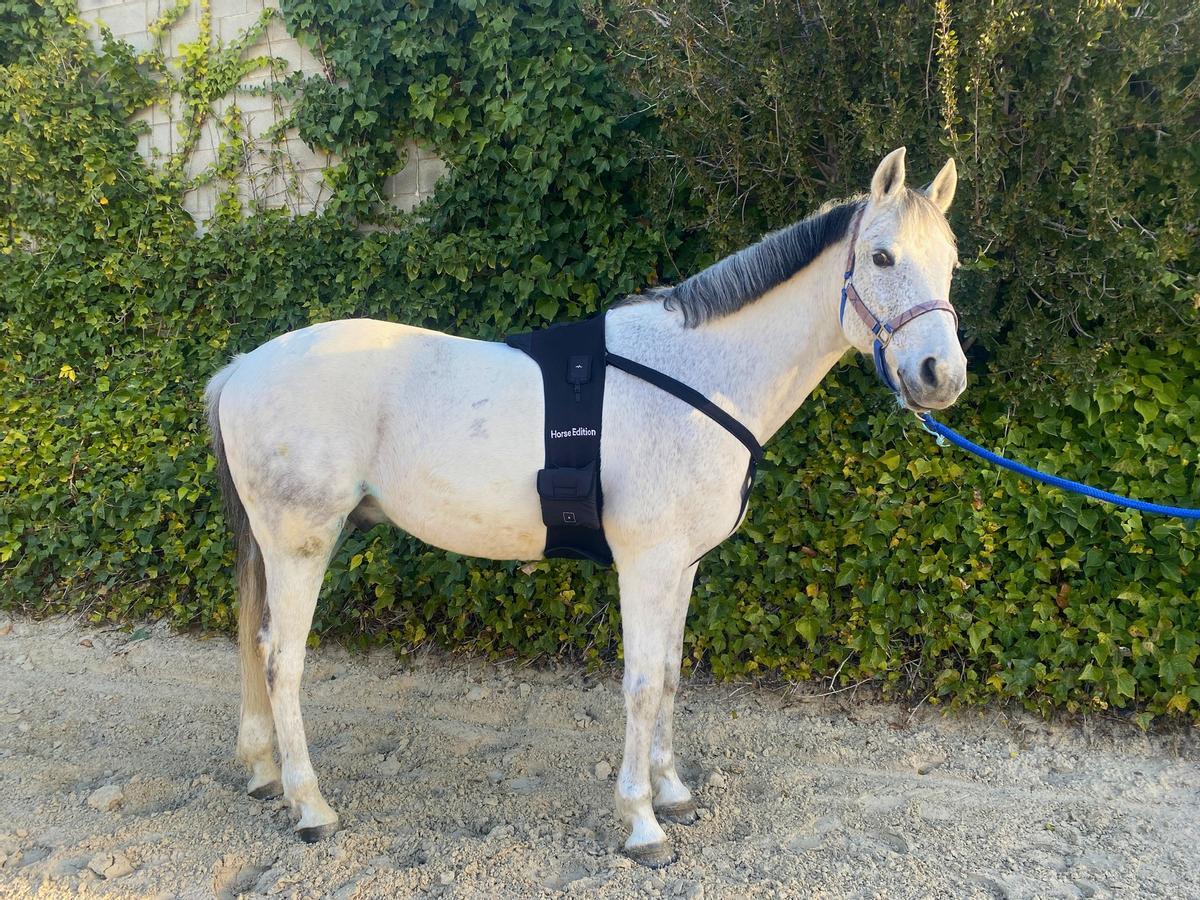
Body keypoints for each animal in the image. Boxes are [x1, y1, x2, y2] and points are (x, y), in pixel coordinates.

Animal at [205, 147, 966, 866]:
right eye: (881, 256)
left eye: (952, 263)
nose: (942, 376)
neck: (696, 374)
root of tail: (241, 369)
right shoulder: (646, 563)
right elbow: (641, 684)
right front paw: (642, 824)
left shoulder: (681, 565)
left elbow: (670, 674)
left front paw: (673, 791)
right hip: (300, 542)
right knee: (281, 659)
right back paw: (310, 806)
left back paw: (266, 774)